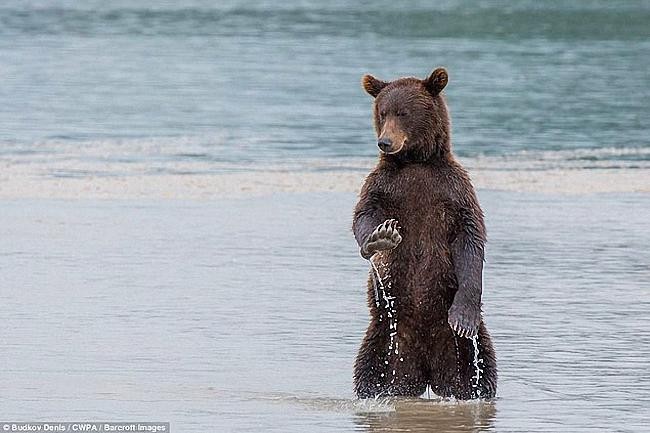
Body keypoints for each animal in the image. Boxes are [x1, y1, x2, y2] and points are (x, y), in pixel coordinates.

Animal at [350, 66, 496, 398]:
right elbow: (363, 216)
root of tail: (427, 374)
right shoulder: (384, 186)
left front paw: (463, 317)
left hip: (465, 352)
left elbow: (471, 239)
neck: (415, 161)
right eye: (382, 112)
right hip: (384, 340)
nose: (384, 142)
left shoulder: (452, 190)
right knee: (368, 373)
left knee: (483, 374)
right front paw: (381, 238)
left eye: (403, 113)